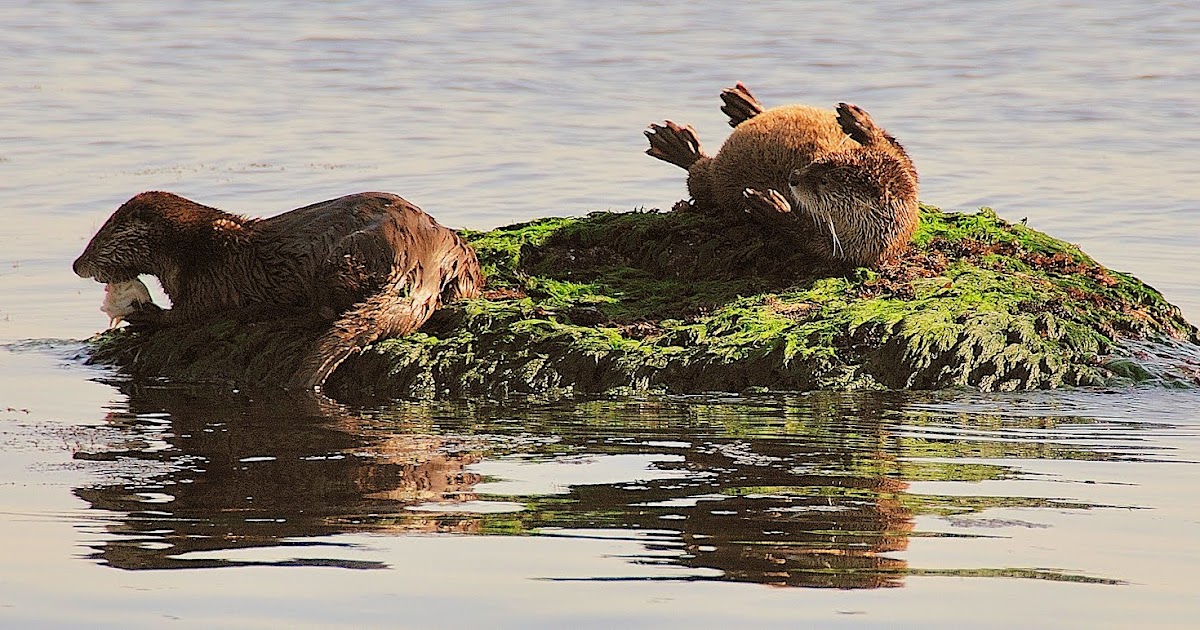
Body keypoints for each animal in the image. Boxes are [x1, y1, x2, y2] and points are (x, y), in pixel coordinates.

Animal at [74, 191, 482, 389]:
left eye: (99, 240)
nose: (76, 264)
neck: (191, 249)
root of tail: (420, 255)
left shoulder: (209, 280)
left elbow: (187, 315)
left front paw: (142, 315)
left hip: (342, 258)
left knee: (328, 309)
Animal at [645, 83, 919, 267]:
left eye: (824, 182)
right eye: (822, 161)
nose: (794, 177)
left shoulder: (846, 250)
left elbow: (802, 236)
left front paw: (771, 207)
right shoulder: (906, 171)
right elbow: (895, 151)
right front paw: (858, 121)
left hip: (713, 181)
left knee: (699, 177)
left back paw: (679, 145)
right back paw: (743, 105)